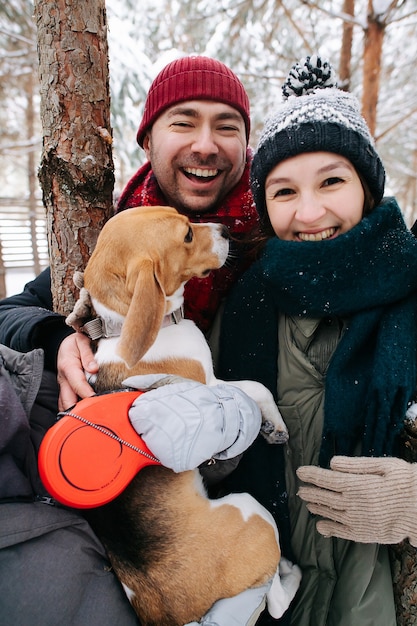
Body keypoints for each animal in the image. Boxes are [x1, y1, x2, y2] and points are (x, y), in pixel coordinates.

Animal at [66, 205, 300, 624]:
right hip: (251, 511)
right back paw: (290, 572)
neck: (124, 326)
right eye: (187, 235)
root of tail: (175, 613)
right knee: (273, 601)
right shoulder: (211, 384)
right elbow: (256, 387)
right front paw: (274, 425)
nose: (226, 230)